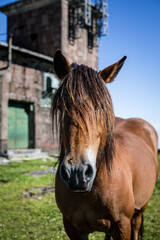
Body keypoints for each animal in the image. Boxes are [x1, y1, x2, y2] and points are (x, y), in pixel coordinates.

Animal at [52, 49, 158, 239]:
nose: (76, 173)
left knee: (137, 225)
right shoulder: (72, 228)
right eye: (60, 107)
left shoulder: (123, 225)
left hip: (140, 208)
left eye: (101, 106)